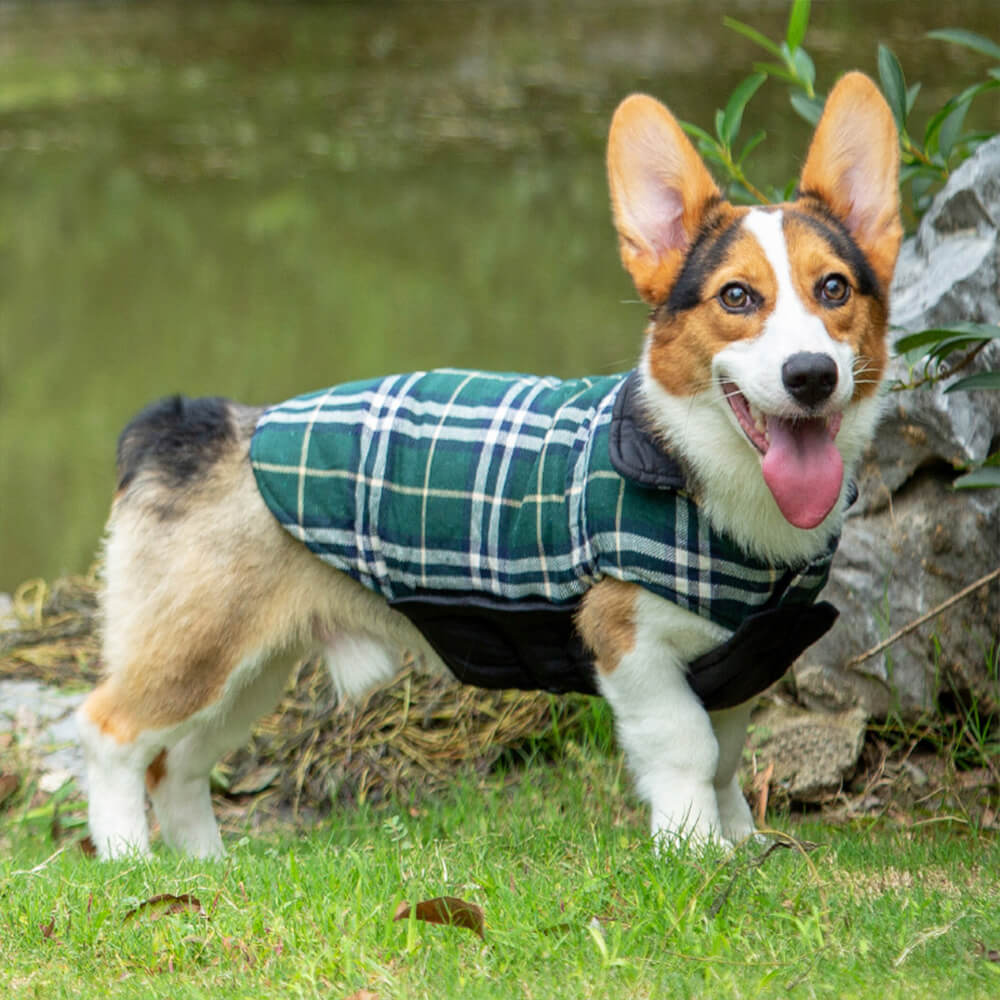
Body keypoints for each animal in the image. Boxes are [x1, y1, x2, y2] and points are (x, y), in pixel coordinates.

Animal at [78, 76, 904, 860]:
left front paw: (742, 844)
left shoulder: (740, 659)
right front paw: (693, 850)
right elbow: (687, 750)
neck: (693, 467)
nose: (811, 375)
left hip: (253, 668)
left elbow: (727, 757)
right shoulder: (631, 648)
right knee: (112, 732)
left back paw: (205, 866)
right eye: (736, 296)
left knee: (179, 763)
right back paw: (127, 860)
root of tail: (196, 423)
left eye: (834, 288)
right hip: (197, 649)